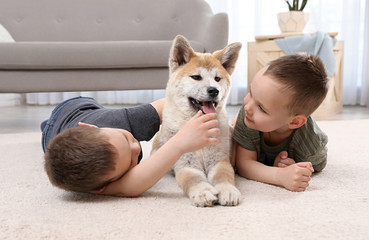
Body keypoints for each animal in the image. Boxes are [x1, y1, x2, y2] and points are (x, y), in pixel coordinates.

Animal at [151, 35, 240, 206]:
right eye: (196, 77)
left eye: (217, 79)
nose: (214, 90)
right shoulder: (186, 163)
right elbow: (194, 180)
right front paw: (203, 192)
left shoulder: (219, 160)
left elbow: (224, 176)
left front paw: (227, 190)